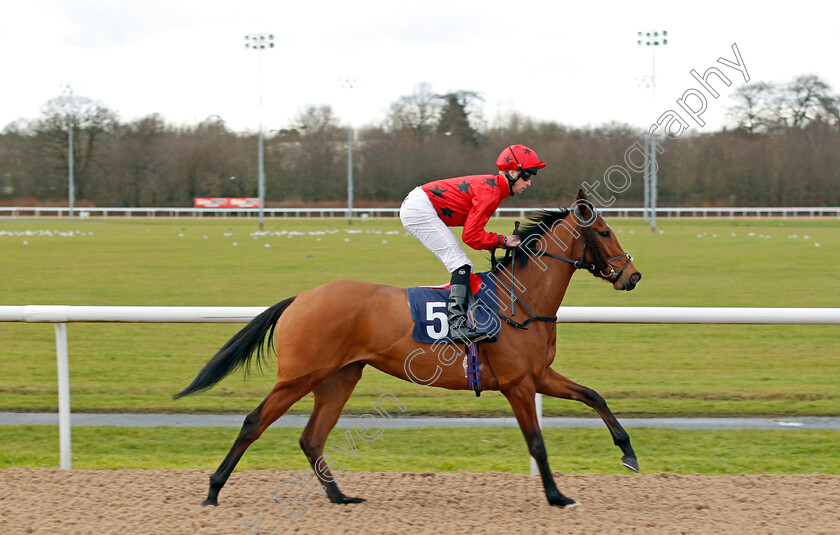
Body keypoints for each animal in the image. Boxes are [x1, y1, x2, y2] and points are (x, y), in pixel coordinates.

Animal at [172, 191, 644, 508]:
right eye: (605, 232)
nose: (633, 276)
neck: (519, 301)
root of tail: (300, 298)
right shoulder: (517, 384)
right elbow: (537, 443)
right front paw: (557, 495)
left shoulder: (540, 375)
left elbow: (595, 397)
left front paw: (628, 453)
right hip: (298, 376)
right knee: (255, 423)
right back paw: (213, 491)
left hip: (339, 377)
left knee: (312, 437)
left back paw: (340, 497)